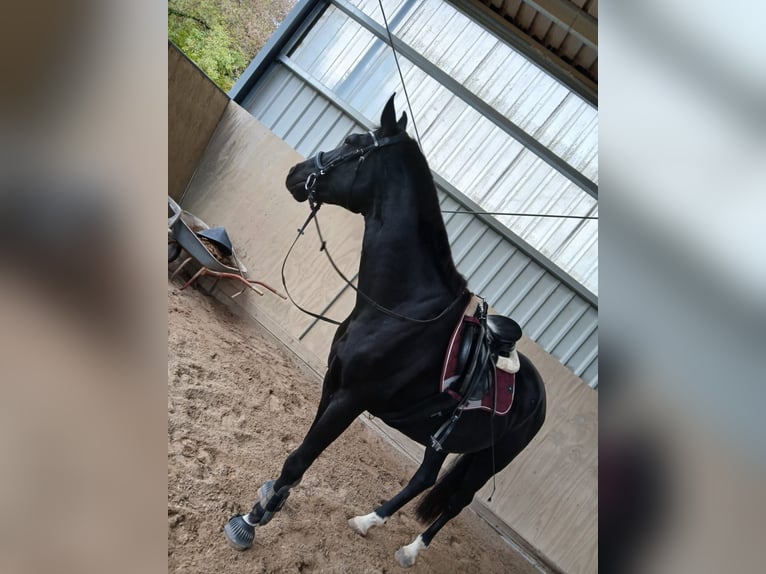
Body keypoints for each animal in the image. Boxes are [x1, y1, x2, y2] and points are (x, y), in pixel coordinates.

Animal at [224, 94, 546, 568]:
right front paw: (272, 501)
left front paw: (249, 522)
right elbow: (299, 458)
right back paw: (367, 522)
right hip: (442, 441)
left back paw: (411, 550)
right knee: (425, 478)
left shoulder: (351, 398)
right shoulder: (334, 384)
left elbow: (298, 460)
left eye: (351, 141)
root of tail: (538, 395)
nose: (297, 174)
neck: (400, 310)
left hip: (489, 460)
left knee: (456, 502)